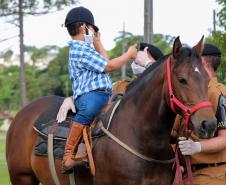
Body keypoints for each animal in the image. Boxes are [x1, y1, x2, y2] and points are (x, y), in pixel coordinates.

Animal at [5, 36, 217, 184]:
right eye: (182, 79)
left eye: (207, 79)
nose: (209, 124)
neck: (143, 139)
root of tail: (21, 115)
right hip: (21, 177)